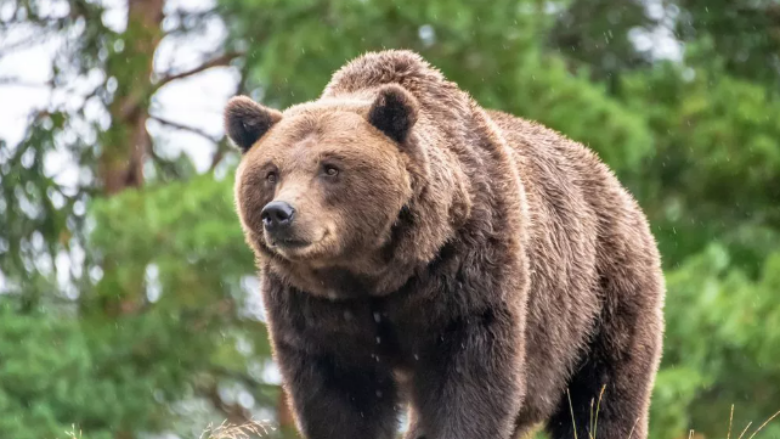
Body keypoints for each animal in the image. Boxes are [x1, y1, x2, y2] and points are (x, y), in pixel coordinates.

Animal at [224, 49, 664, 439]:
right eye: (271, 172)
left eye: (330, 168)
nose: (279, 213)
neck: (376, 273)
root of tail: (613, 183)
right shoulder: (314, 306)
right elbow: (340, 394)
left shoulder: (467, 271)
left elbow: (470, 380)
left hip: (601, 300)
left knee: (602, 397)